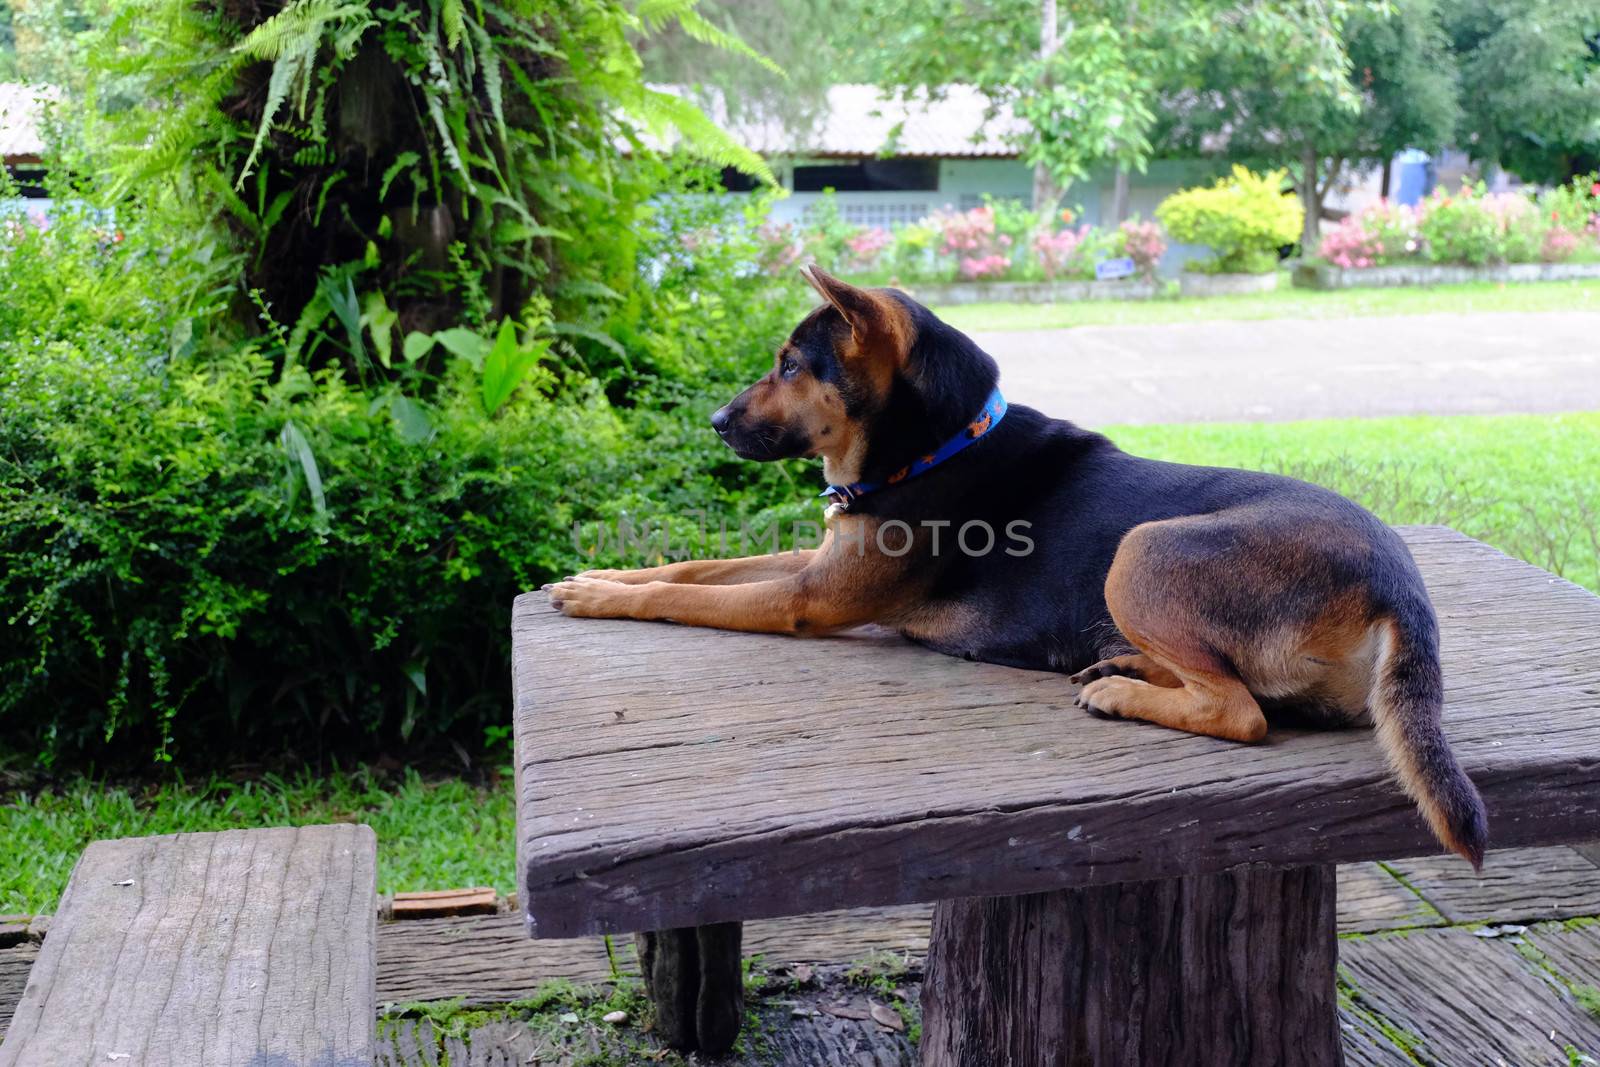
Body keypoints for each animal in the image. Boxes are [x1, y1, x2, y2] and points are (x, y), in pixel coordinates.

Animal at [547, 265, 1484, 870]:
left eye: (789, 365)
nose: (713, 421)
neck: (932, 444)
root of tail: (1401, 585)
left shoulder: (807, 598)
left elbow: (688, 597)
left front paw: (601, 597)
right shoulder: (812, 559)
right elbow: (698, 565)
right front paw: (594, 579)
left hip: (1141, 548)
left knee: (1243, 712)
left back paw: (1121, 690)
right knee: (1236, 687)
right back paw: (1124, 663)